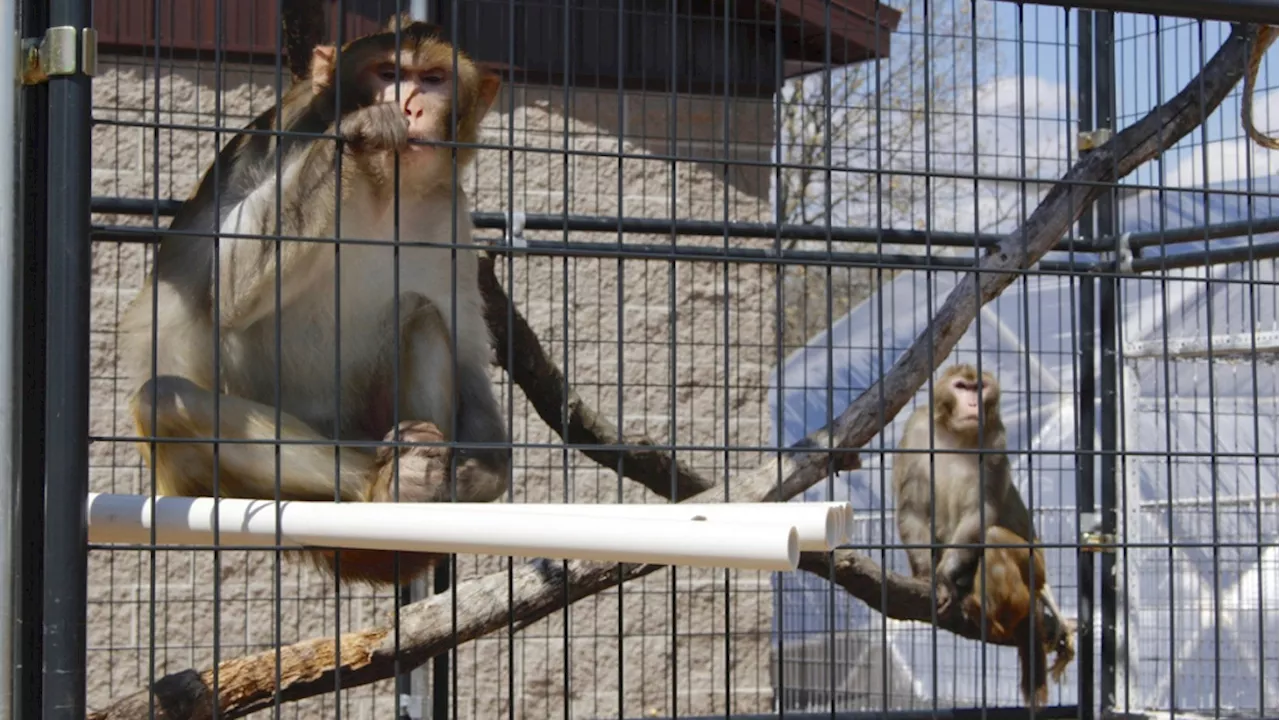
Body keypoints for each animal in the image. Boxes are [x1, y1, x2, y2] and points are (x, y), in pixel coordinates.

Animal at [117, 15, 509, 584]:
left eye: (433, 79)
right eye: (388, 73)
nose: (410, 107)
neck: (382, 188)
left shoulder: (450, 215)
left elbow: (466, 348)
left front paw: (484, 472)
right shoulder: (278, 138)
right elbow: (225, 287)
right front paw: (361, 131)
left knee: (422, 316)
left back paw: (421, 486)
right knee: (165, 401)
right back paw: (384, 485)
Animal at [896, 363, 1075, 707]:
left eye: (979, 388)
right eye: (962, 387)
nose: (972, 403)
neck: (955, 432)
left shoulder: (995, 438)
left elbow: (980, 514)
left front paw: (944, 578)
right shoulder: (916, 430)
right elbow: (913, 509)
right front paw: (927, 574)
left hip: (1035, 571)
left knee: (992, 538)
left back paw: (993, 613)